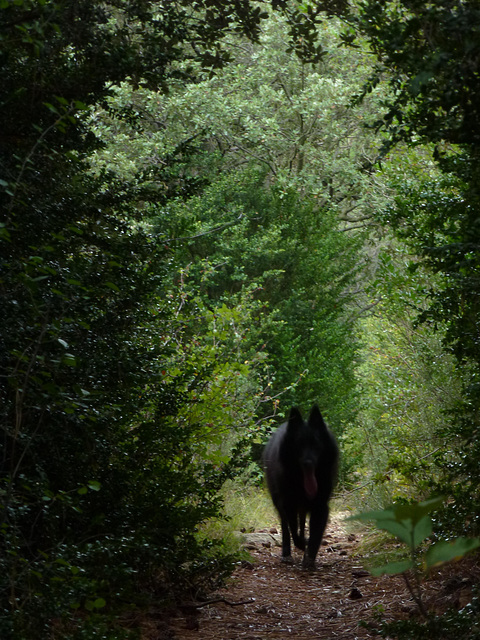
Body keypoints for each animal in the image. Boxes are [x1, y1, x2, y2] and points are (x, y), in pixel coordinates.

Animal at [262, 408, 338, 568]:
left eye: (316, 444)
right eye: (299, 444)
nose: (308, 463)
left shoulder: (320, 506)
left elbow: (316, 533)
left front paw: (309, 556)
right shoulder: (288, 504)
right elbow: (293, 530)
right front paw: (301, 545)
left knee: (301, 523)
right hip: (280, 503)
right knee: (286, 528)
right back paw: (287, 553)